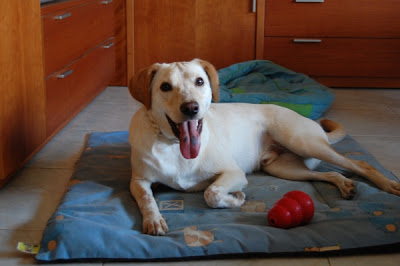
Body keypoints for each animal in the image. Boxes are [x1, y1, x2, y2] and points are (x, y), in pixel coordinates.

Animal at [128, 58, 400, 235]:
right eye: (165, 86)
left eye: (199, 81)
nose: (191, 108)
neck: (174, 146)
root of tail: (314, 124)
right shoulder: (138, 180)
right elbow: (146, 199)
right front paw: (154, 220)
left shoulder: (233, 173)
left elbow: (211, 193)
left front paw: (235, 199)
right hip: (284, 168)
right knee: (329, 173)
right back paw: (345, 185)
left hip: (304, 142)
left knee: (359, 163)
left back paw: (388, 184)